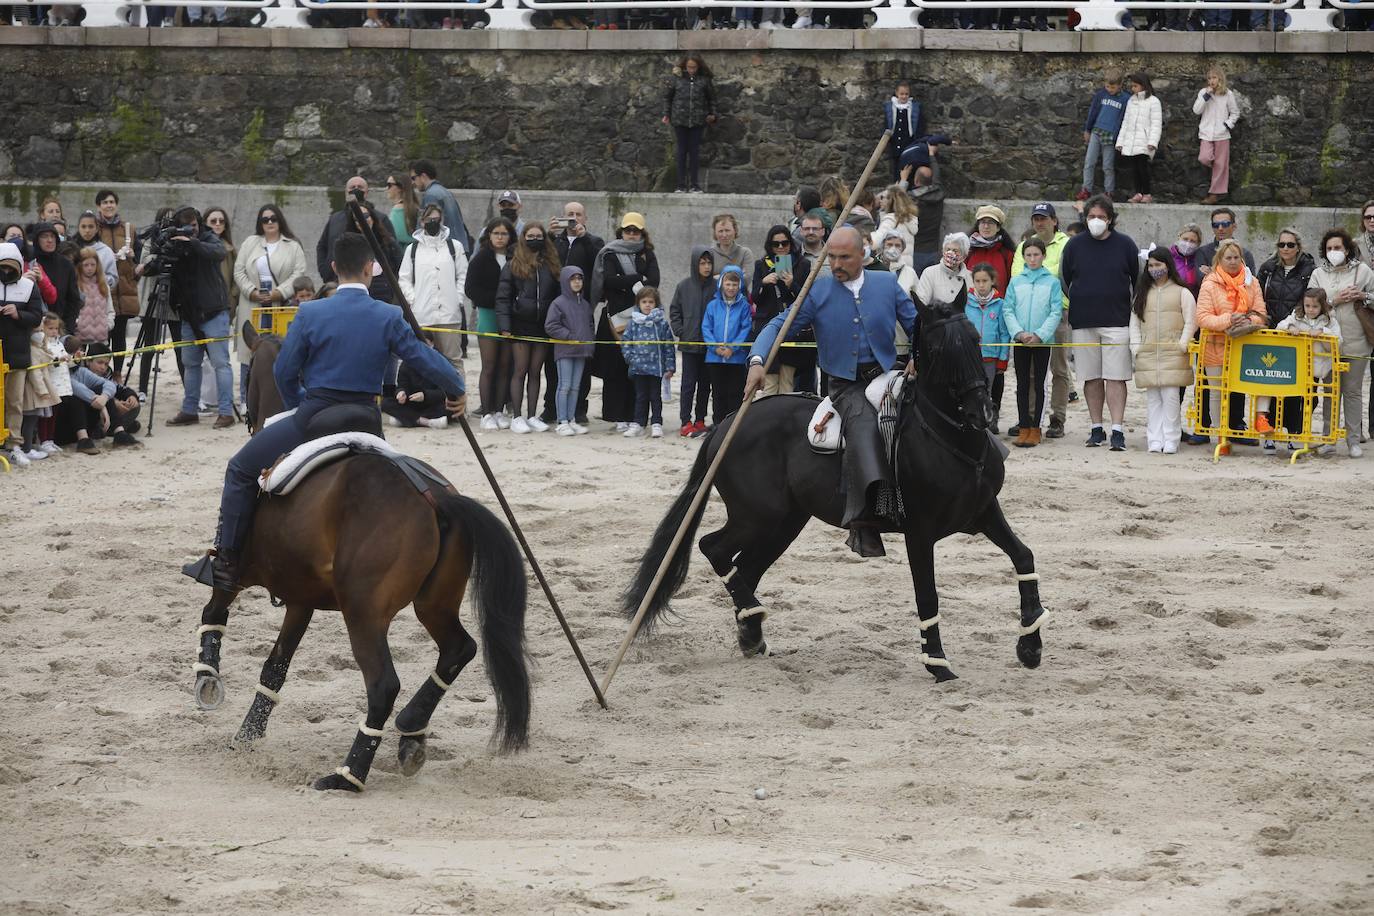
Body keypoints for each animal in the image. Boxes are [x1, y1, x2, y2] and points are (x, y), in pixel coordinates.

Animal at [192, 455, 530, 791]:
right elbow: (275, 667)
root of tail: (436, 498)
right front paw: (249, 733)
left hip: (362, 615)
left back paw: (348, 775)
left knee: (384, 686)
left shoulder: (242, 572)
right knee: (459, 649)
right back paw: (411, 731)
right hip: (434, 607)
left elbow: (213, 611)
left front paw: (207, 676)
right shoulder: (300, 601)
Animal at [626, 293, 1049, 681]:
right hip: (756, 516)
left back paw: (752, 633)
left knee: (745, 567)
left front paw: (1030, 646)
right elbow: (927, 594)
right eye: (939, 349)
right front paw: (937, 663)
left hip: (785, 522)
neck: (947, 438)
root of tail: (726, 424)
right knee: (713, 547)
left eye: (975, 338)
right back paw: (751, 625)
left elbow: (1024, 556)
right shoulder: (920, 532)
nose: (983, 412)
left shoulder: (983, 512)